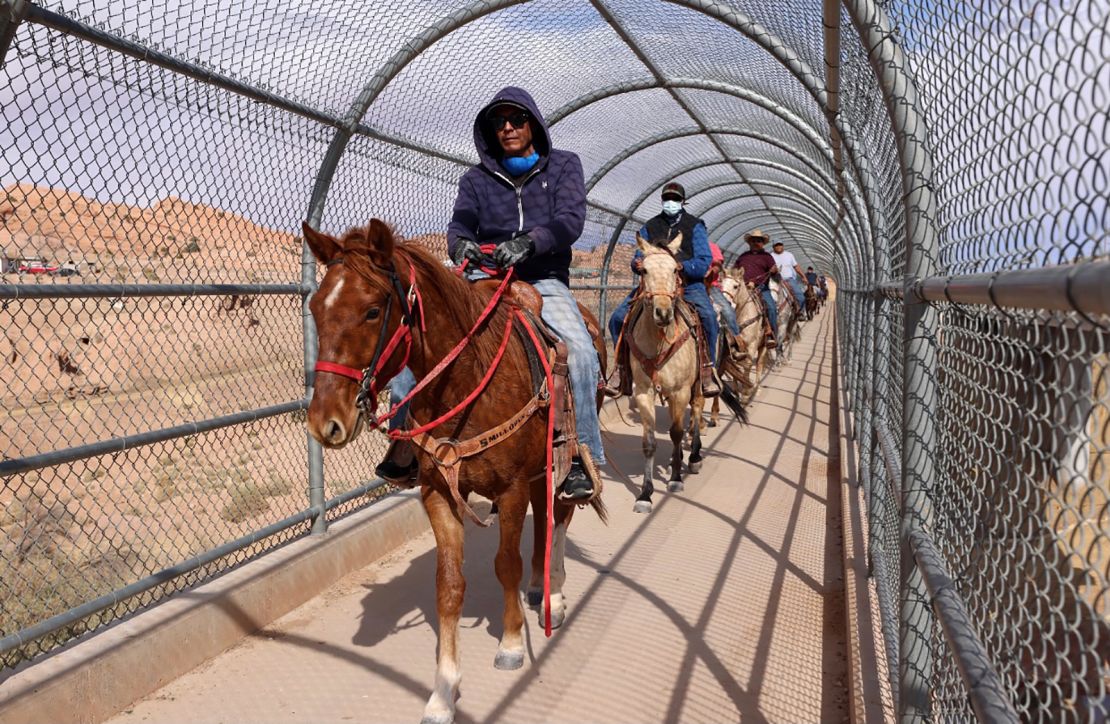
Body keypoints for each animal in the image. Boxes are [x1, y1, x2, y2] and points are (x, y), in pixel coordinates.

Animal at [304, 220, 608, 724]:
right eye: (315, 307)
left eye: (372, 311)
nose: (325, 422)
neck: (468, 379)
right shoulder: (437, 492)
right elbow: (448, 585)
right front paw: (444, 690)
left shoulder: (510, 489)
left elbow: (506, 563)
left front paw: (510, 644)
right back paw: (538, 589)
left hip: (562, 461)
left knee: (559, 517)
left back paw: (555, 595)